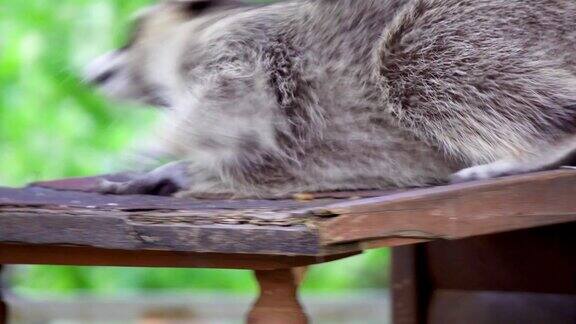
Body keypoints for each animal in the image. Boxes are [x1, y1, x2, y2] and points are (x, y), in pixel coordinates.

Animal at [85, 0, 576, 197]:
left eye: (130, 34)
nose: (90, 73)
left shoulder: (244, 47)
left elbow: (243, 102)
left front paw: (164, 141)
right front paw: (178, 169)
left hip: (479, 22)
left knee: (415, 59)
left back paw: (537, 147)